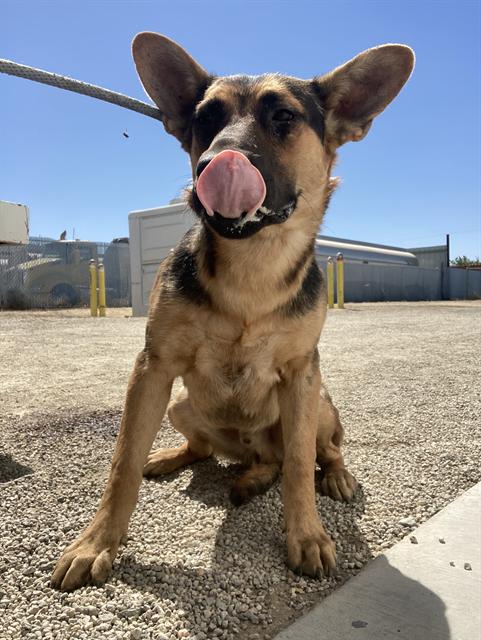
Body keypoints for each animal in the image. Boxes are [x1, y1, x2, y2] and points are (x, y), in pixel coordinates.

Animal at [51, 33, 412, 592]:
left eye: (283, 116)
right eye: (205, 119)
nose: (213, 165)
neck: (252, 267)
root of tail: (252, 450)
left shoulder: (302, 375)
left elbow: (299, 468)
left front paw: (307, 535)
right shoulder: (152, 370)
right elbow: (122, 464)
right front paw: (96, 543)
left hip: (320, 403)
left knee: (313, 454)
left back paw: (331, 476)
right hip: (180, 404)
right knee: (224, 453)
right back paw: (193, 462)